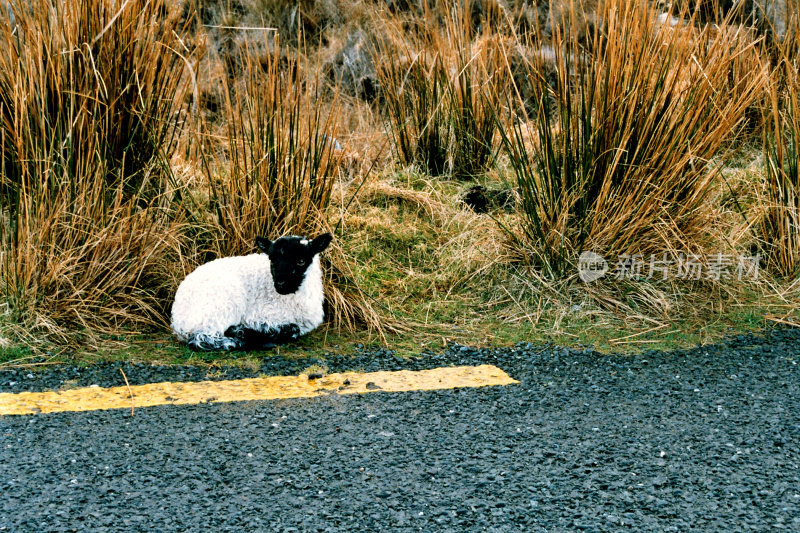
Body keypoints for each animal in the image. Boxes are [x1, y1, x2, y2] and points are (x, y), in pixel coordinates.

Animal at [170, 232, 332, 350]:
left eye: (301, 261)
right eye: (272, 260)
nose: (280, 284)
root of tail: (177, 320)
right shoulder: (258, 315)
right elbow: (293, 329)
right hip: (220, 307)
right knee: (200, 338)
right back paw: (239, 341)